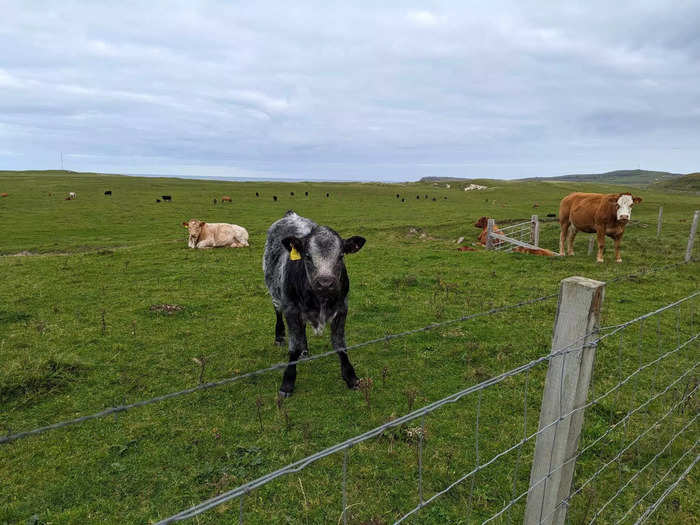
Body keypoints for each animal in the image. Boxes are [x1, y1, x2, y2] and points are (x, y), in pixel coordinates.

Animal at [262, 211, 366, 396]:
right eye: (308, 256)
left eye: (341, 256)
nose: (325, 283)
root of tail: (290, 215)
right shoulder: (291, 310)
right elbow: (293, 348)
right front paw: (287, 383)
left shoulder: (342, 309)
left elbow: (340, 345)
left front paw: (351, 378)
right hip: (275, 291)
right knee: (277, 312)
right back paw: (280, 337)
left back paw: (305, 350)